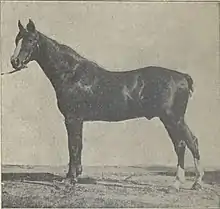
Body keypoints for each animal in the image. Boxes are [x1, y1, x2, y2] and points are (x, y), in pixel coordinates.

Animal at [7, 19, 205, 191]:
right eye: (17, 39)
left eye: (30, 40)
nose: (14, 61)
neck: (71, 74)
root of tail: (182, 77)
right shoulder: (78, 120)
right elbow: (78, 146)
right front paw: (77, 175)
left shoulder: (73, 119)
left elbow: (73, 147)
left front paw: (69, 179)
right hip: (174, 119)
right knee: (189, 142)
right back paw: (191, 183)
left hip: (172, 118)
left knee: (183, 144)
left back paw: (180, 183)